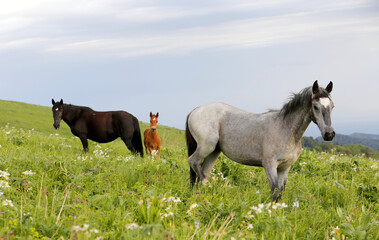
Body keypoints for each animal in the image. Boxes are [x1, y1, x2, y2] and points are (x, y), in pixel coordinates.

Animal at [186, 80, 336, 201]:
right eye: (315, 106)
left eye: (332, 106)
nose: (329, 134)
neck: (286, 129)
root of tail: (195, 111)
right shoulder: (269, 164)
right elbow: (274, 191)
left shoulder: (285, 167)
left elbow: (280, 192)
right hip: (206, 147)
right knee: (194, 163)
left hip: (214, 152)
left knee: (202, 172)